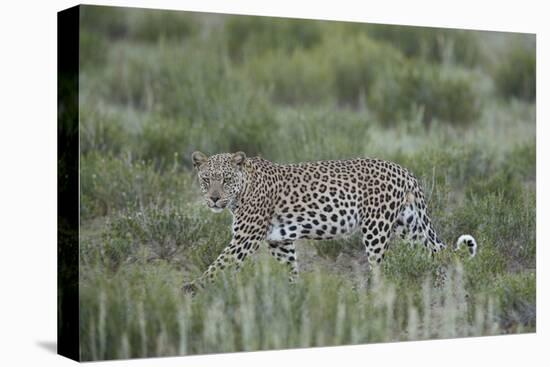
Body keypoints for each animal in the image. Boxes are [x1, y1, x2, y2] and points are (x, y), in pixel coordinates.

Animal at [182, 151, 478, 294]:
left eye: (226, 179)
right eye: (206, 179)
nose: (214, 199)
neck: (243, 188)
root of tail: (405, 171)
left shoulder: (246, 238)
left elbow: (219, 264)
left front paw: (192, 288)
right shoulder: (279, 241)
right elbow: (290, 269)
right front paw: (292, 295)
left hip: (377, 227)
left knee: (379, 267)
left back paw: (371, 295)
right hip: (410, 226)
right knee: (438, 253)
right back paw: (448, 284)